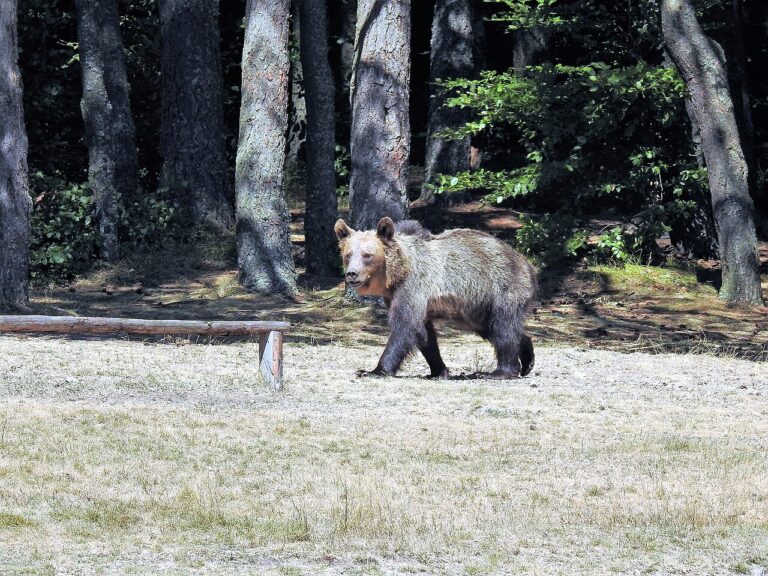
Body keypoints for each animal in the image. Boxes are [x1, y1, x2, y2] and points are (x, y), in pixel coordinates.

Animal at [334, 216, 537, 379]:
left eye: (367, 255)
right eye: (348, 254)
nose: (352, 274)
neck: (397, 273)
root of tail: (526, 263)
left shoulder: (413, 286)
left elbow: (404, 326)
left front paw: (373, 370)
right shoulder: (397, 296)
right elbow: (424, 334)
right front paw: (438, 370)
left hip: (502, 289)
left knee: (503, 328)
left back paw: (499, 371)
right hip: (478, 308)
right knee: (494, 329)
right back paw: (527, 359)